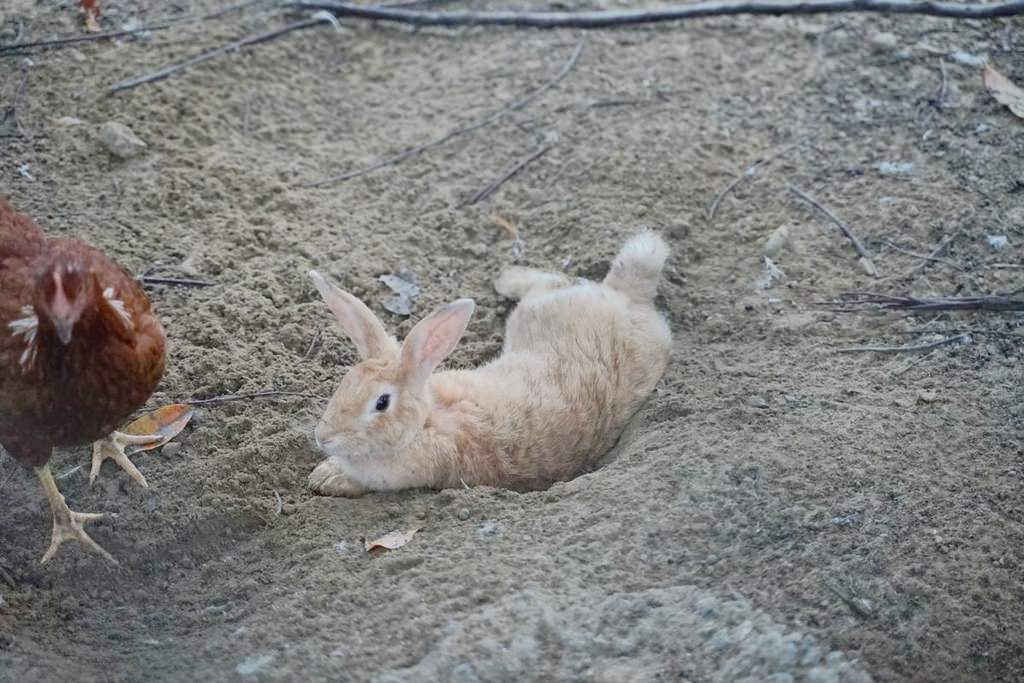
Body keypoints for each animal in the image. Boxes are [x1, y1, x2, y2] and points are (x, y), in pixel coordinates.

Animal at [303, 231, 671, 497]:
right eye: (345, 382)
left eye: (381, 402)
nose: (323, 438)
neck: (424, 423)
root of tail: (629, 296)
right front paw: (322, 473)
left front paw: (327, 479)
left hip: (535, 311)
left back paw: (506, 277)